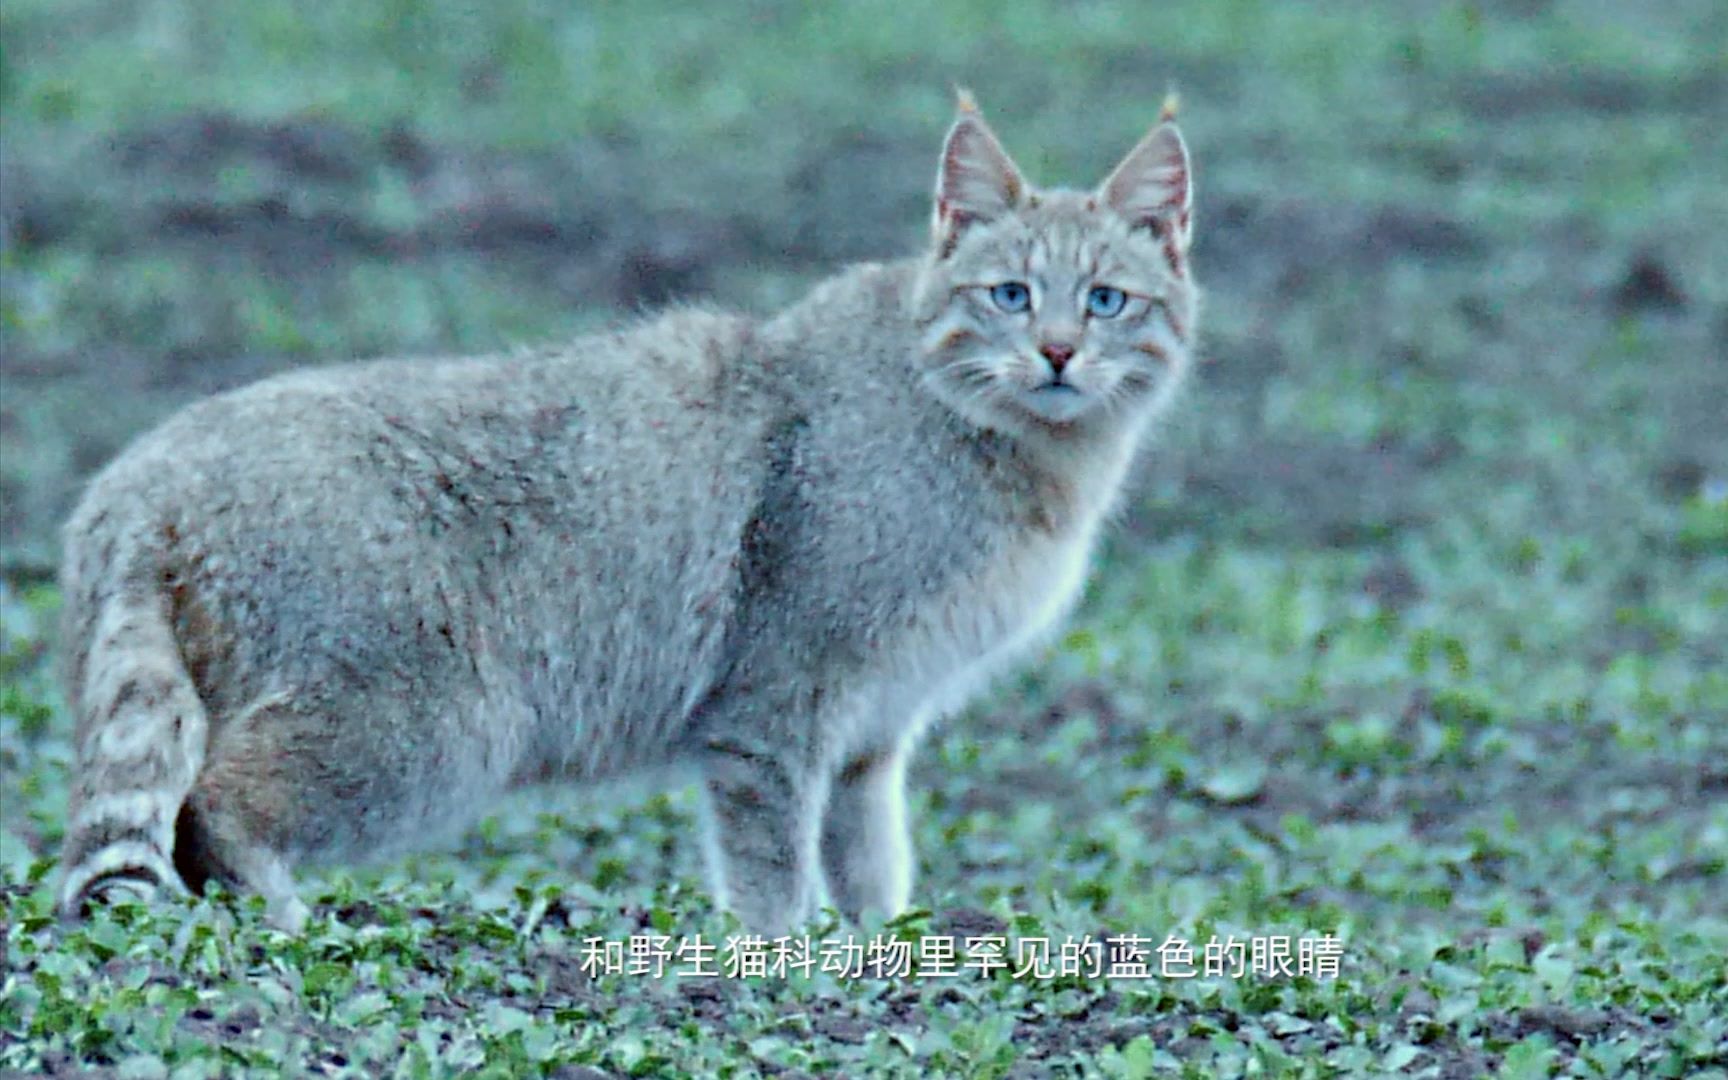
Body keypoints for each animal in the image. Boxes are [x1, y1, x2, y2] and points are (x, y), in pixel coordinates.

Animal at [50, 94, 1188, 933]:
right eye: (1008, 295)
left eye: (1107, 300)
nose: (1056, 352)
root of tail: (135, 477)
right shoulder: (774, 705)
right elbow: (774, 867)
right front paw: (787, 958)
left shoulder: (874, 730)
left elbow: (870, 864)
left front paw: (880, 945)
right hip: (428, 723)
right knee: (214, 802)